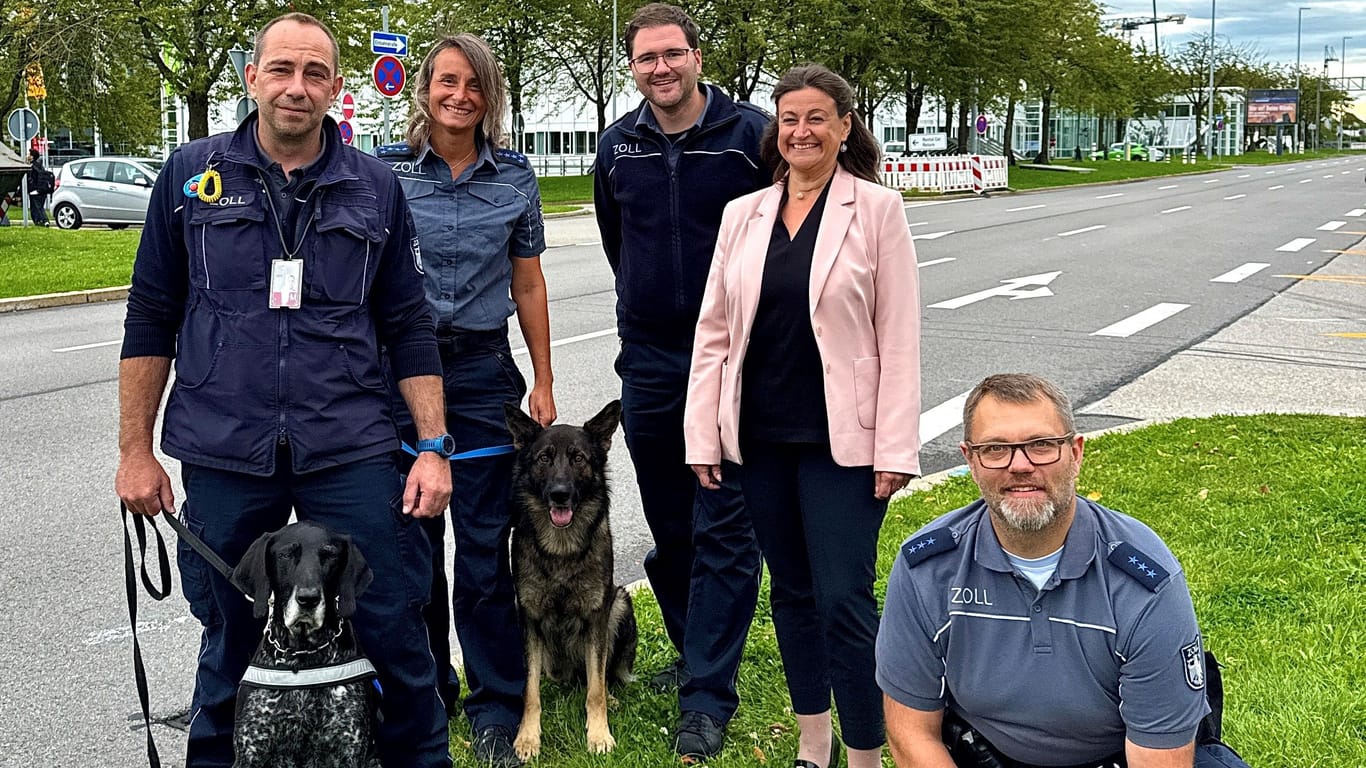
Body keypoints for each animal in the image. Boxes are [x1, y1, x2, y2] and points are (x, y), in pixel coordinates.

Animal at [228, 519, 379, 765]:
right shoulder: (250, 751)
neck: (303, 653)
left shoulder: (349, 750)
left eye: (330, 555)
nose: (308, 599)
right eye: (286, 555)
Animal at [505, 396, 636, 754]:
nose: (560, 494)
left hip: (620, 602)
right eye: (544, 458)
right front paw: (528, 736)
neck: (560, 548)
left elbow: (596, 688)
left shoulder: (597, 616)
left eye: (578, 458)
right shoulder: (529, 619)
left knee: (600, 676)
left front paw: (599, 734)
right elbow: (530, 691)